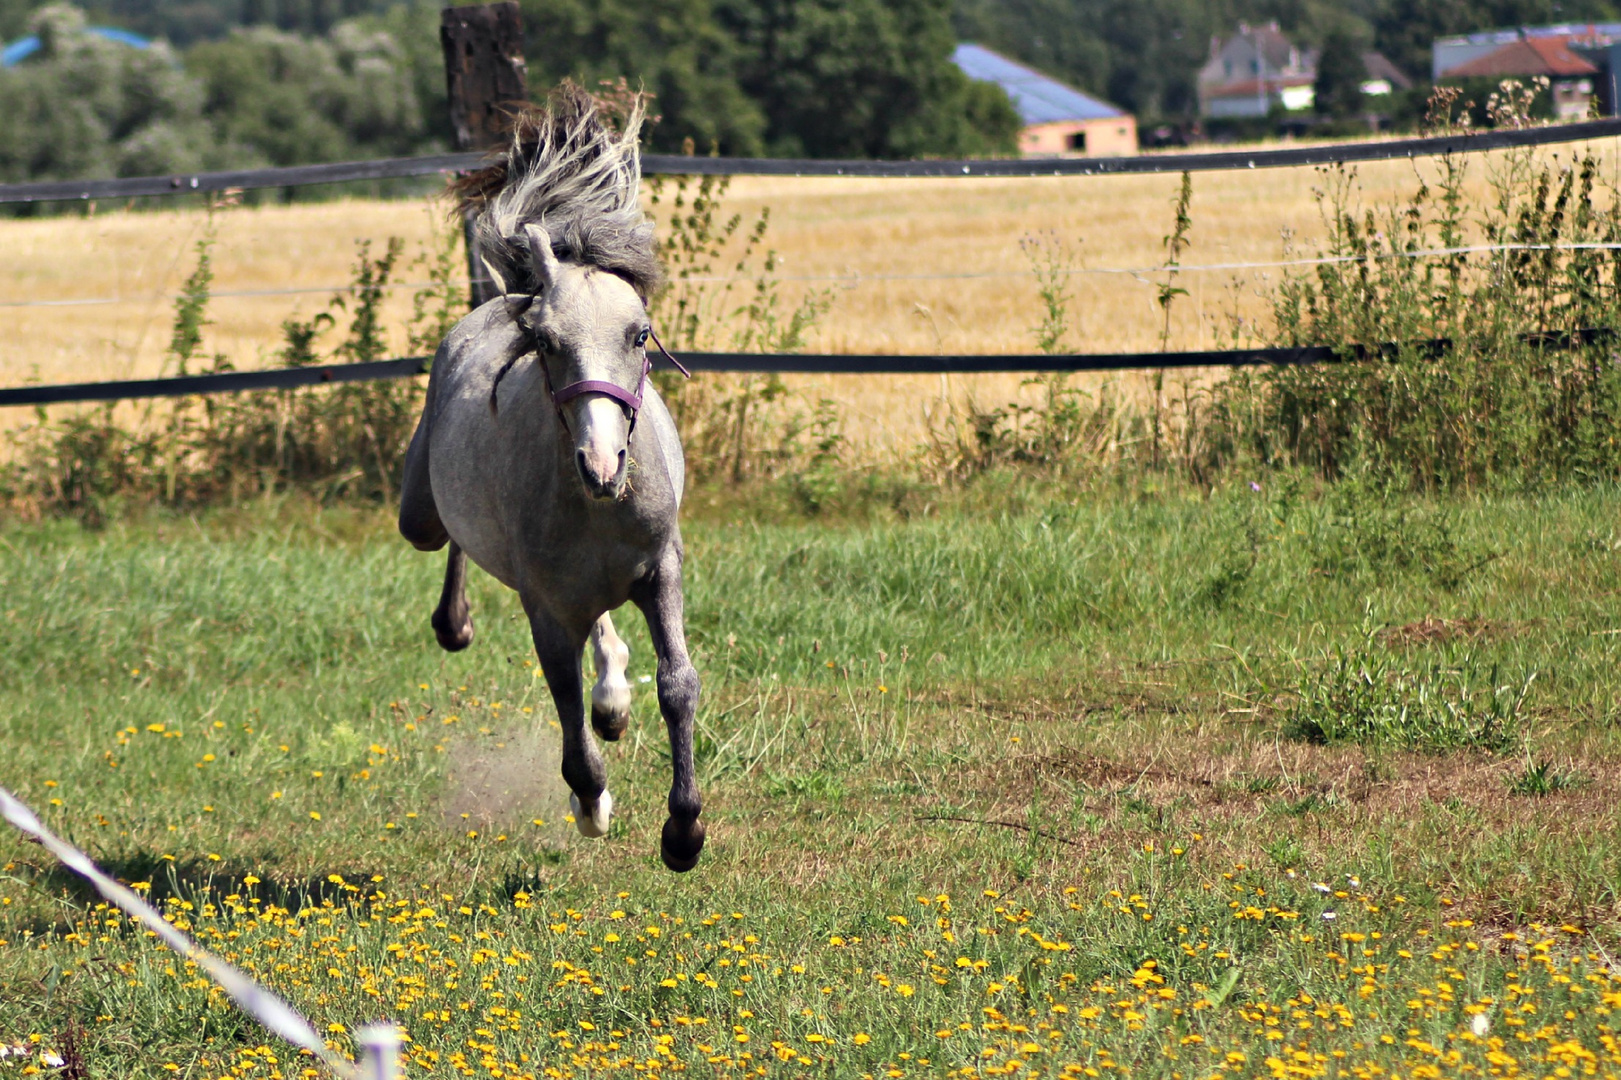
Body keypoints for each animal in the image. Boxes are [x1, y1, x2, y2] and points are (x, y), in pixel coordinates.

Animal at [398, 88, 703, 869]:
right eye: (544, 342)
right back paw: (455, 623)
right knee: (449, 541)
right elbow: (562, 696)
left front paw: (683, 831)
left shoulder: (662, 568)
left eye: (639, 334)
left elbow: (678, 685)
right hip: (421, 516)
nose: (601, 464)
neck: (596, 510)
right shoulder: (541, 602)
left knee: (600, 624)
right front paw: (591, 802)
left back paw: (614, 697)